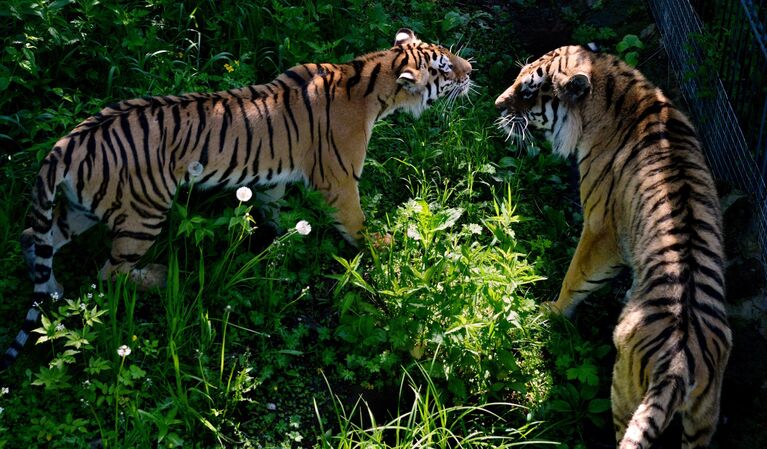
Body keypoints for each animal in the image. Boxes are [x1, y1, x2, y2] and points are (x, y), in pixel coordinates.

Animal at [3, 29, 474, 370]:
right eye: (444, 67)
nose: (472, 70)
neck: (373, 81)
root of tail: (67, 142)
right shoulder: (340, 181)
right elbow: (358, 226)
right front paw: (385, 253)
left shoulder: (272, 180)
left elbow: (273, 214)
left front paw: (274, 248)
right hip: (144, 212)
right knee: (110, 273)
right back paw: (162, 277)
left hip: (81, 208)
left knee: (32, 236)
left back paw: (53, 289)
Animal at [496, 46, 736, 448]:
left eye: (528, 90)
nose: (497, 104)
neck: (618, 88)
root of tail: (680, 365)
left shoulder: (599, 228)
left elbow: (576, 276)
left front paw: (552, 311)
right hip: (705, 416)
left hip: (625, 391)